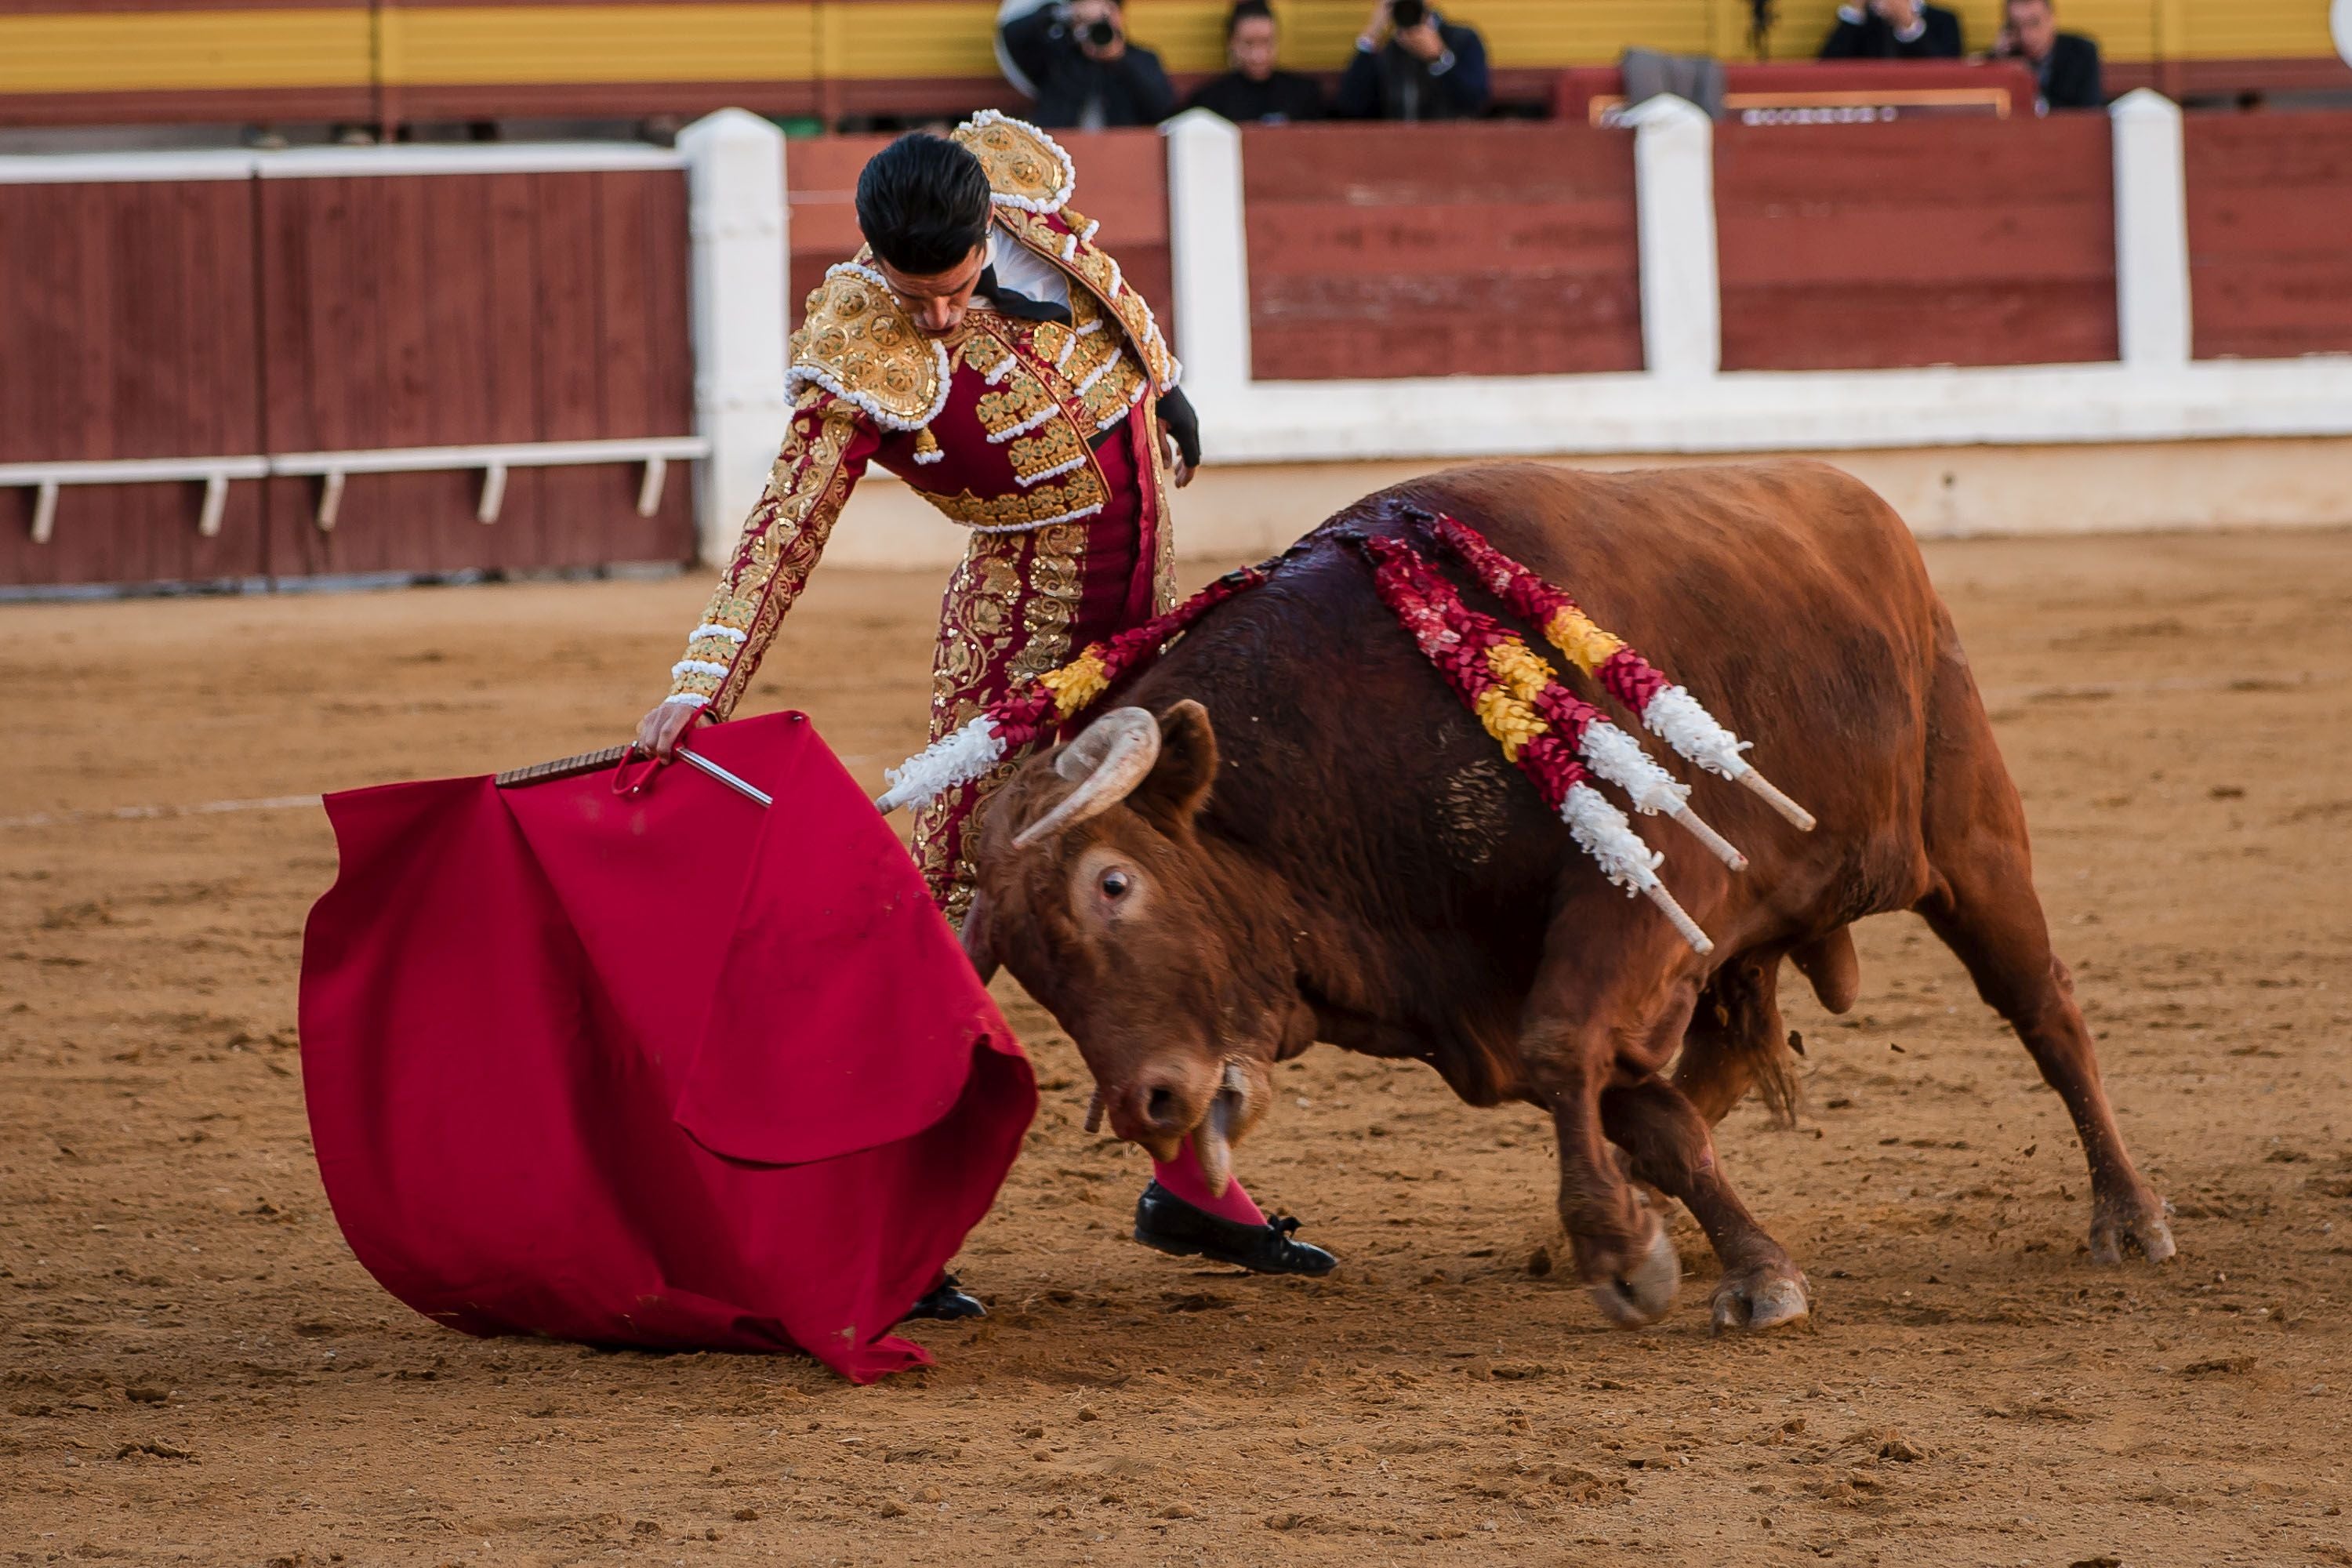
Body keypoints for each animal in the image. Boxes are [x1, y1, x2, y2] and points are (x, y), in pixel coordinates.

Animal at [964, 460, 2173, 1335]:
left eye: (1115, 882)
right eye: (1028, 966)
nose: (1147, 1103)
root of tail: (1861, 502)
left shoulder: (1636, 898)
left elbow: (1569, 1053)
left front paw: (1626, 1254)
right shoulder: (1512, 982)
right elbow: (1642, 1107)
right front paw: (1720, 1257)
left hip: (1973, 840)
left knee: (2046, 1007)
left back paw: (2130, 1217)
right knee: (1713, 1066)